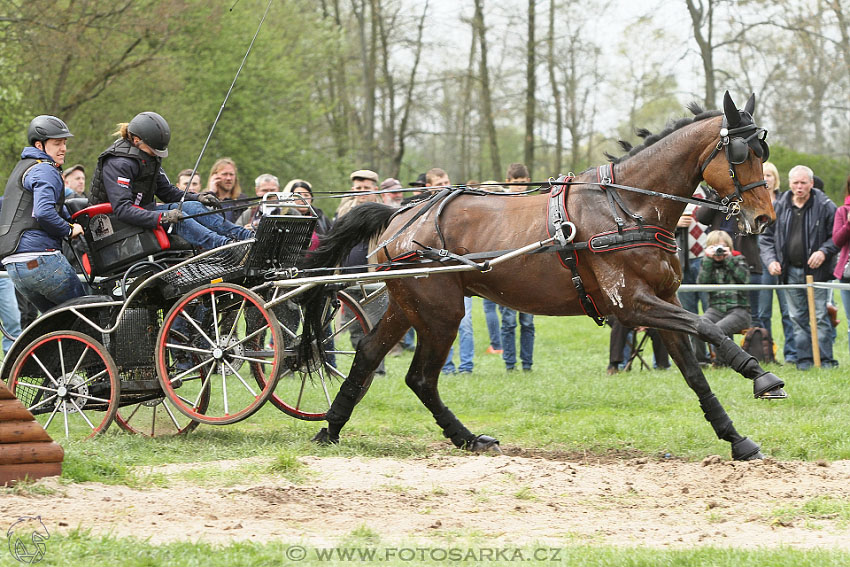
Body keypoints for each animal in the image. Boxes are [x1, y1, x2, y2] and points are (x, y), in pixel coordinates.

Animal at [300, 92, 780, 462]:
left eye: (764, 154)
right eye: (741, 155)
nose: (763, 218)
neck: (627, 206)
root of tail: (401, 215)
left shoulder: (665, 302)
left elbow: (695, 373)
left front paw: (736, 439)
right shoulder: (633, 304)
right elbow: (708, 328)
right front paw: (759, 374)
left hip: (408, 308)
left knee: (368, 355)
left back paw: (334, 428)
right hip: (440, 313)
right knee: (419, 377)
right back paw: (460, 437)